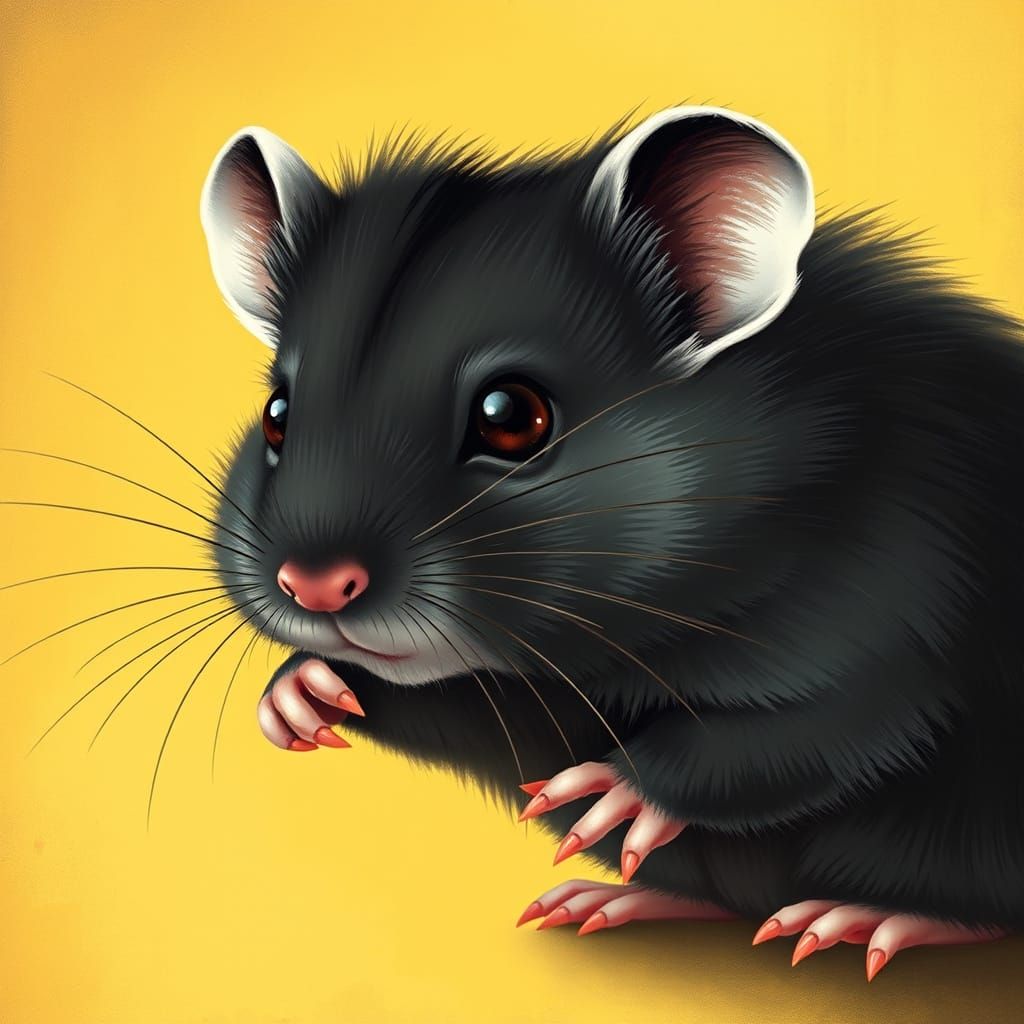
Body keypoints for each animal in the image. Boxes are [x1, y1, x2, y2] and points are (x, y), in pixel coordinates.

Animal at [199, 106, 1024, 981]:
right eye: (278, 413)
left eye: (511, 416)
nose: (312, 585)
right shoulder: (517, 698)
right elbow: (449, 709)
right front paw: (301, 692)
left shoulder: (898, 598)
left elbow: (827, 725)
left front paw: (614, 791)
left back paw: (866, 918)